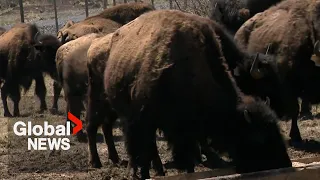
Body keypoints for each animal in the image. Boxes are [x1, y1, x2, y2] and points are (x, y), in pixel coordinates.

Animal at [103, 9, 292, 179]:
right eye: (259, 138)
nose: (285, 164)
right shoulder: (147, 120)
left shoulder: (186, 130)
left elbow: (188, 157)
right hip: (127, 115)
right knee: (136, 145)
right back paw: (137, 171)